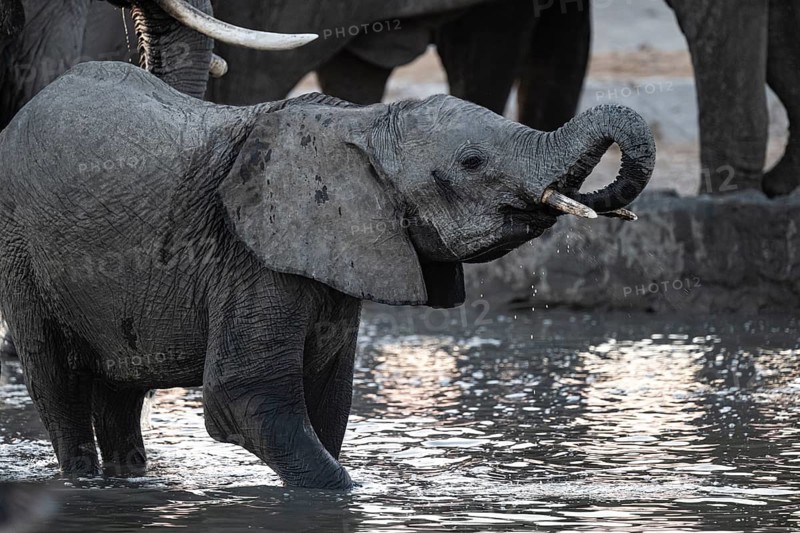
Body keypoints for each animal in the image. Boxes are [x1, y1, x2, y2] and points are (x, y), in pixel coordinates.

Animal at [0, 60, 655, 489]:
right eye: (471, 162)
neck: (364, 124)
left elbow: (328, 399)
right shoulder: (250, 254)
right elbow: (246, 398)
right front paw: (352, 496)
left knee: (122, 391)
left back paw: (130, 483)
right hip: (17, 246)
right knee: (56, 380)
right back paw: (84, 484)